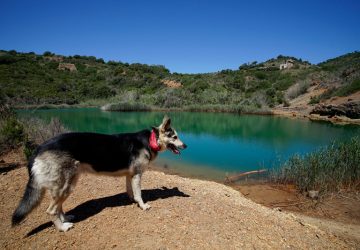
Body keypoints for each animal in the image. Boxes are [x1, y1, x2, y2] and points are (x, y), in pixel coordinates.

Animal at [11, 116, 186, 231]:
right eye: (174, 137)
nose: (186, 146)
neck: (151, 140)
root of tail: (39, 148)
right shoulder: (137, 175)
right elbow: (139, 193)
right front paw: (142, 206)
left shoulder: (129, 176)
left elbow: (130, 191)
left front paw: (132, 201)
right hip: (65, 185)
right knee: (51, 210)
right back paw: (63, 227)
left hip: (67, 185)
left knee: (58, 206)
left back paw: (66, 218)